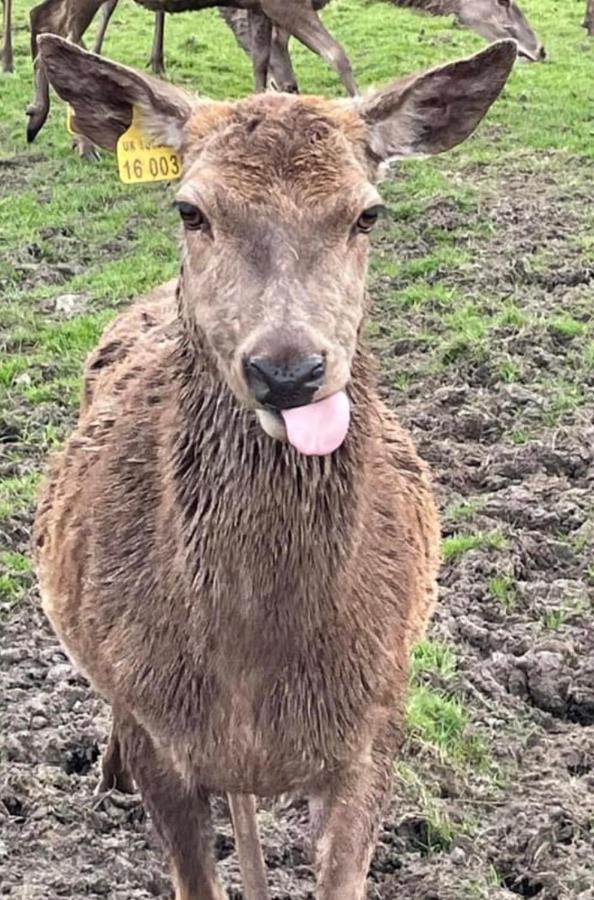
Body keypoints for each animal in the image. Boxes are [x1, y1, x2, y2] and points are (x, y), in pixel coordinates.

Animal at [34, 29, 516, 900]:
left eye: (367, 213)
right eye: (190, 209)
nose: (288, 370)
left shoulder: (377, 726)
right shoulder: (165, 739)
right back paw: (108, 770)